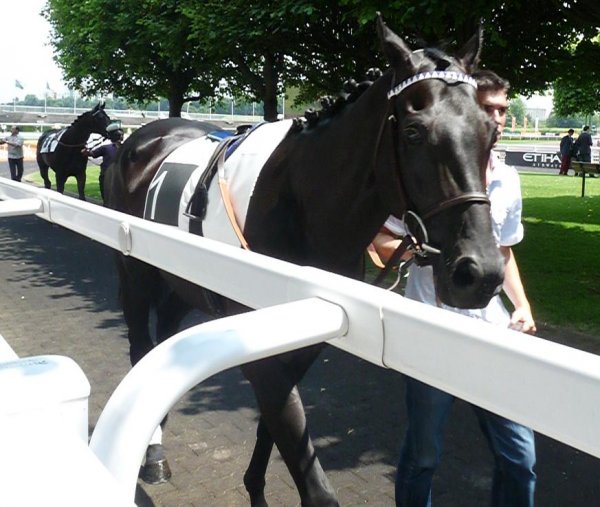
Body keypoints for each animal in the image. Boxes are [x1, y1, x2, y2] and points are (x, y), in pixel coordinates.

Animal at [105, 17, 504, 506]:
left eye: (491, 132)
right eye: (413, 132)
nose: (479, 272)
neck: (295, 203)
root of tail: (139, 138)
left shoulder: (306, 339)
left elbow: (273, 426)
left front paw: (255, 486)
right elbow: (310, 476)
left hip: (183, 280)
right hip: (136, 273)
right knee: (141, 344)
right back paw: (153, 454)